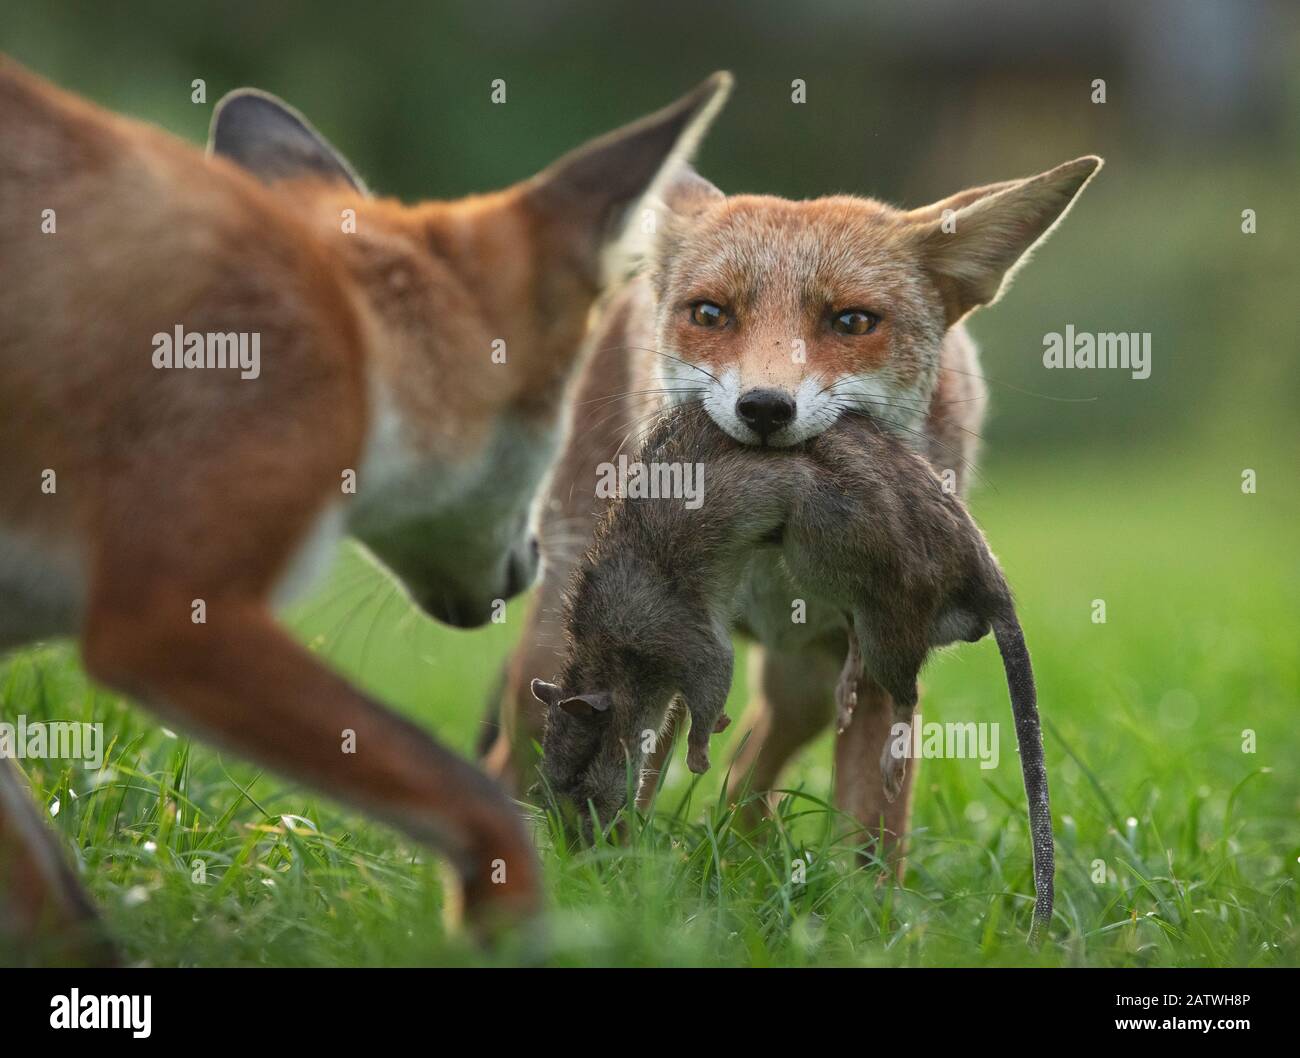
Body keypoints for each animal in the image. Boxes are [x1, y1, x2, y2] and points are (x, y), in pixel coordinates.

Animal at [0, 60, 733, 967]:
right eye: (553, 431)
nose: (532, 566)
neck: (362, 339)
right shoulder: (167, 620)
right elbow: (478, 799)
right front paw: (515, 927)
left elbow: (66, 915)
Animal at [488, 157, 1097, 868]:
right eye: (710, 313)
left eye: (853, 322)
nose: (764, 407)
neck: (772, 559)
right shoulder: (677, 650)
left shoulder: (873, 650)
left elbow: (871, 843)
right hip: (554, 646)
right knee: (515, 755)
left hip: (805, 684)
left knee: (748, 779)